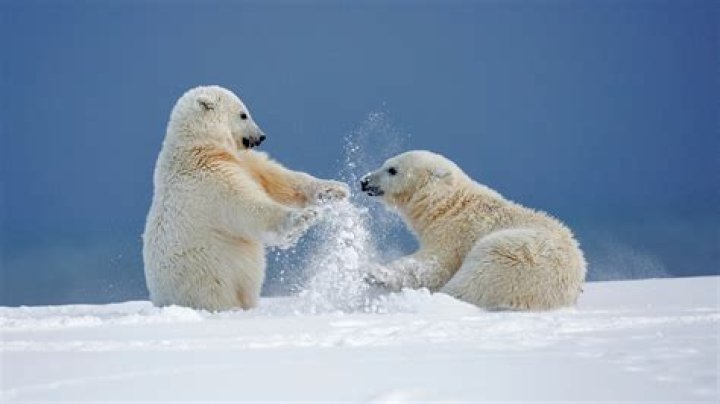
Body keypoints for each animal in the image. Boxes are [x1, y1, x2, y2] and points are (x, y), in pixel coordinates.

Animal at [143, 85, 349, 311]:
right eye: (243, 114)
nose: (261, 136)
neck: (198, 147)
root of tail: (160, 300)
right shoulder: (209, 181)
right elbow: (246, 206)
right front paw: (302, 219)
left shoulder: (244, 160)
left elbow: (278, 179)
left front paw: (335, 190)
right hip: (205, 276)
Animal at [360, 150, 586, 311]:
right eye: (385, 164)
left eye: (392, 169)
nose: (364, 181)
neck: (448, 204)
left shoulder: (456, 232)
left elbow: (434, 263)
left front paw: (375, 273)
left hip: (513, 255)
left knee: (474, 281)